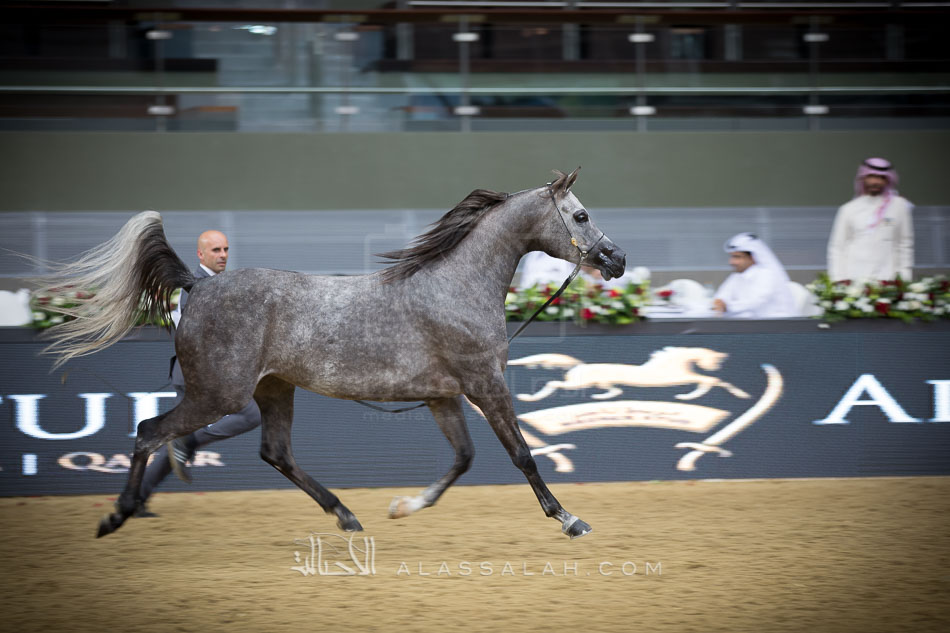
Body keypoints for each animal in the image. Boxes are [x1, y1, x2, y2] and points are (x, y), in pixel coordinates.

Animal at [36, 168, 626, 540]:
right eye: (579, 216)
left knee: (274, 453)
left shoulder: (443, 397)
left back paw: (346, 515)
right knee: (149, 432)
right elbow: (521, 454)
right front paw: (569, 519)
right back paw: (118, 514)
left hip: (273, 390)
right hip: (218, 395)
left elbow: (464, 458)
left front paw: (404, 506)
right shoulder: (485, 384)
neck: (454, 287)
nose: (616, 258)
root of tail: (197, 286)